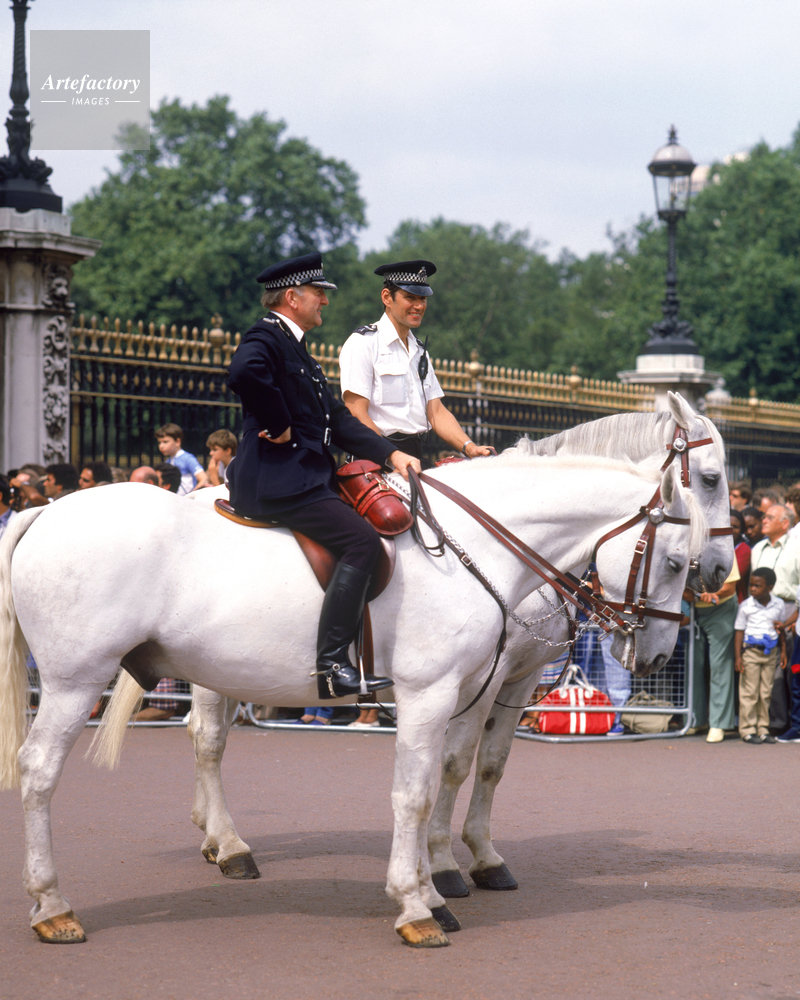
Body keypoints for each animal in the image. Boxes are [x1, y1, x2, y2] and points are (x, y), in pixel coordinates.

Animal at [0, 452, 704, 944]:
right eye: (676, 562)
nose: (658, 655)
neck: (472, 551)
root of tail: (46, 509)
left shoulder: (474, 690)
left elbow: (445, 782)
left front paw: (435, 889)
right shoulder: (430, 693)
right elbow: (415, 796)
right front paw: (417, 905)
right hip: (73, 682)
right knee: (39, 772)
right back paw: (54, 905)